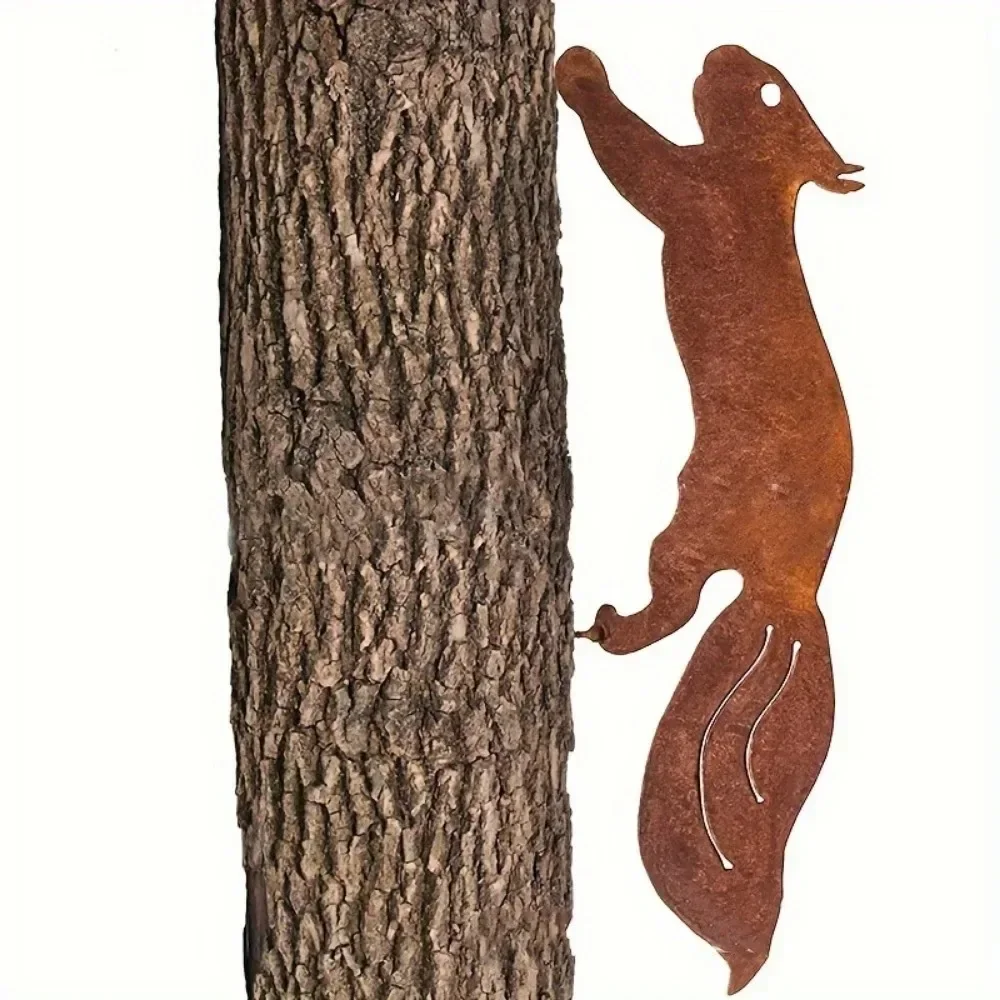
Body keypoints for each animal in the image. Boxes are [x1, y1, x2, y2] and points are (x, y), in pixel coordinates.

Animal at [557, 43, 861, 994]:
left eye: (767, 90)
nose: (721, 50)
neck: (764, 187)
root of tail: (791, 591)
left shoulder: (695, 191)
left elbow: (636, 158)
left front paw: (579, 73)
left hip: (688, 526)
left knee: (674, 605)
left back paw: (606, 627)